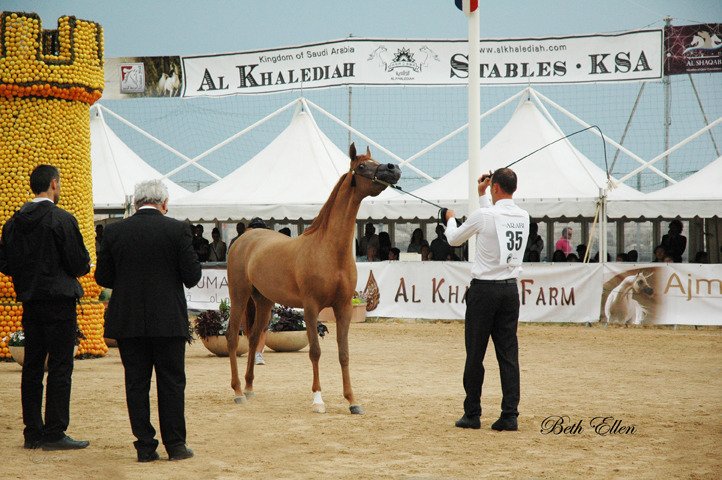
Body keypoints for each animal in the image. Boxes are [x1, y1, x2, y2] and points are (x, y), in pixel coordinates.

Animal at [226, 143, 401, 414]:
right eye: (362, 166)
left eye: (375, 161)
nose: (393, 169)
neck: (329, 250)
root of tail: (246, 238)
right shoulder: (311, 307)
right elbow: (315, 352)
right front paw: (318, 400)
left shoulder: (343, 307)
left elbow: (343, 353)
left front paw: (352, 401)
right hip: (239, 295)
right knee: (234, 337)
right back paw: (237, 392)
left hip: (264, 301)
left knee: (254, 339)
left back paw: (249, 387)